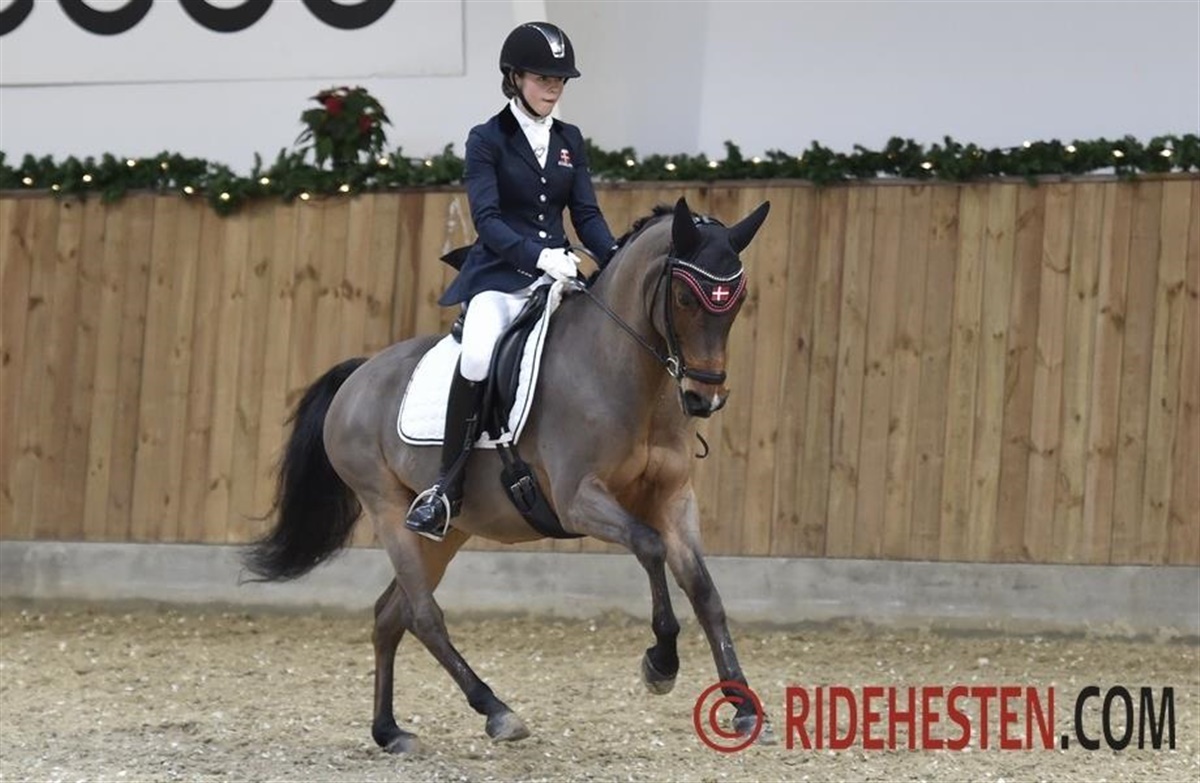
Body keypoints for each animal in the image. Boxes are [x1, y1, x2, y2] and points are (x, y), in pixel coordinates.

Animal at [242, 196, 774, 753]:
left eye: (737, 299)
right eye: (686, 298)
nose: (703, 398)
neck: (625, 372)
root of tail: (361, 373)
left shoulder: (672, 498)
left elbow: (705, 591)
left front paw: (742, 705)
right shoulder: (578, 499)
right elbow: (649, 546)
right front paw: (661, 664)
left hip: (448, 529)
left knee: (392, 614)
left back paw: (389, 731)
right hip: (386, 507)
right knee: (424, 616)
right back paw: (496, 710)